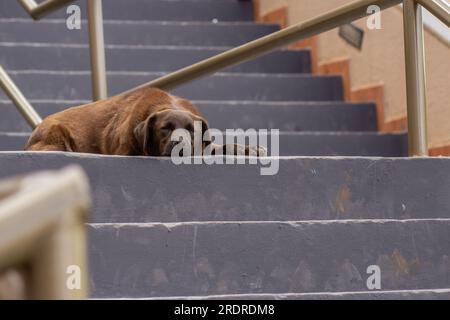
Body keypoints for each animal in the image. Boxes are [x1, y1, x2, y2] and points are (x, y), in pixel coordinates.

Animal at [24, 86, 264, 156]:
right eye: (165, 129)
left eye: (191, 130)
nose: (180, 144)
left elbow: (217, 146)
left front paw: (247, 148)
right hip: (57, 133)